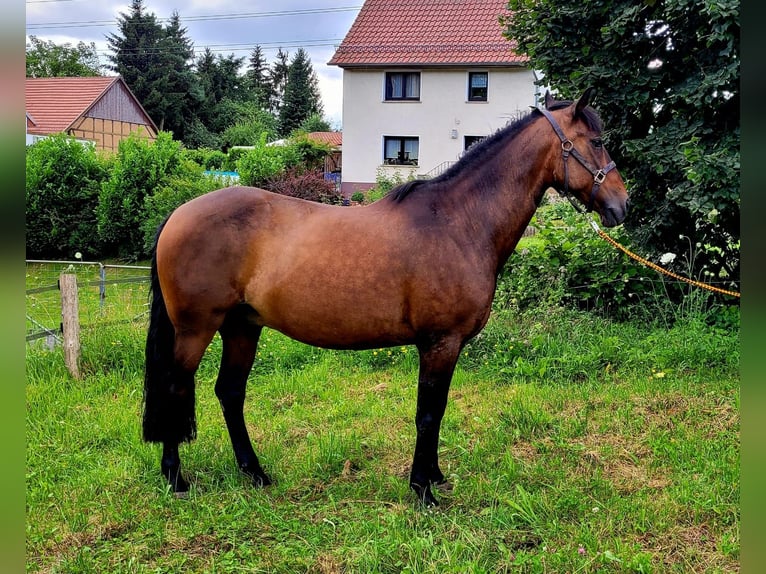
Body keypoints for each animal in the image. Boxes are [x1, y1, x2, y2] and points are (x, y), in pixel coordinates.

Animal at [144, 88, 632, 506]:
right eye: (597, 142)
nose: (621, 206)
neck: (459, 221)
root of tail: (179, 213)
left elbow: (436, 411)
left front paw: (434, 477)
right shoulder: (440, 343)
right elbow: (428, 413)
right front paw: (423, 490)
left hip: (242, 326)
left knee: (230, 392)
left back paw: (255, 473)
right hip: (196, 329)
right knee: (175, 387)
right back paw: (176, 478)